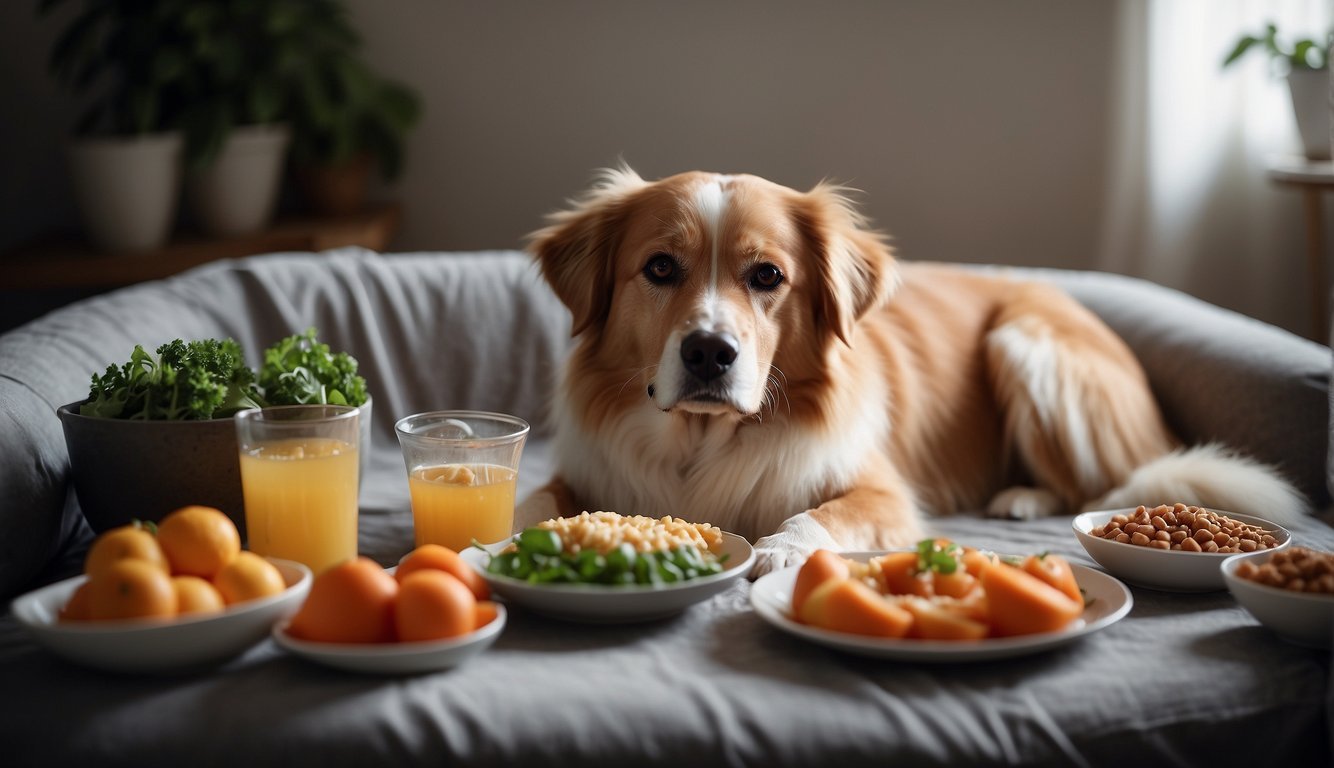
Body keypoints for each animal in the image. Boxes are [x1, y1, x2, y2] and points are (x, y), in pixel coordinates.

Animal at [514, 168, 1307, 576]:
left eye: (767, 275)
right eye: (659, 268)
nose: (710, 352)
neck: (701, 440)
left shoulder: (885, 494)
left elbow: (818, 514)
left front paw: (781, 551)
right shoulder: (590, 474)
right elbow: (536, 499)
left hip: (1026, 345)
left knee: (1105, 483)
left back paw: (1021, 497)